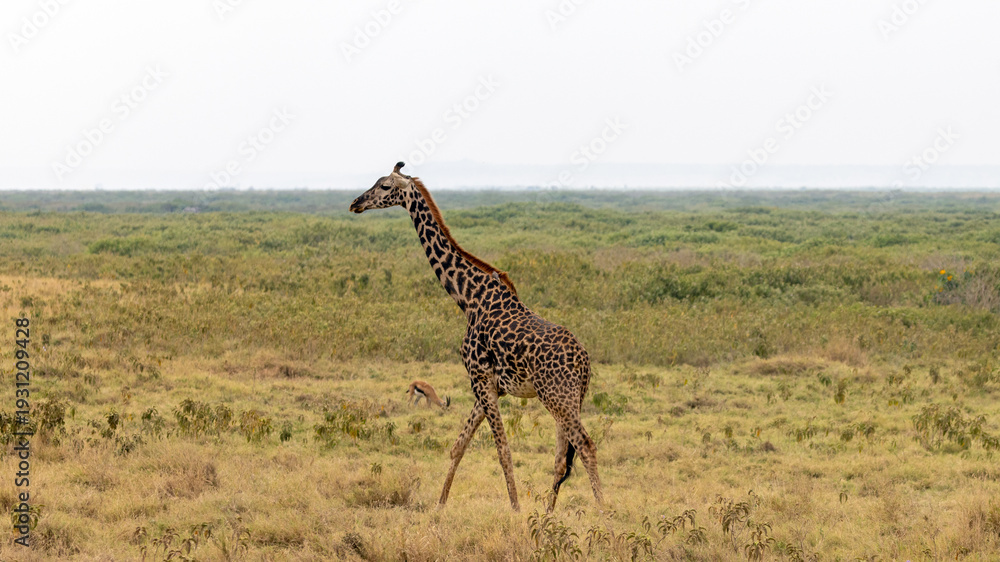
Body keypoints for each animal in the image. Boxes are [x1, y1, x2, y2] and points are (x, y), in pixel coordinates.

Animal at [350, 162, 604, 512]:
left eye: (385, 186)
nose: (356, 203)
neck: (468, 297)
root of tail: (584, 361)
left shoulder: (480, 380)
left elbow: (502, 450)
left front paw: (515, 510)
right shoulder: (490, 386)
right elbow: (459, 445)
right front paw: (439, 506)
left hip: (557, 397)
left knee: (586, 447)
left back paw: (605, 513)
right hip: (569, 399)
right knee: (561, 458)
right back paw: (549, 514)